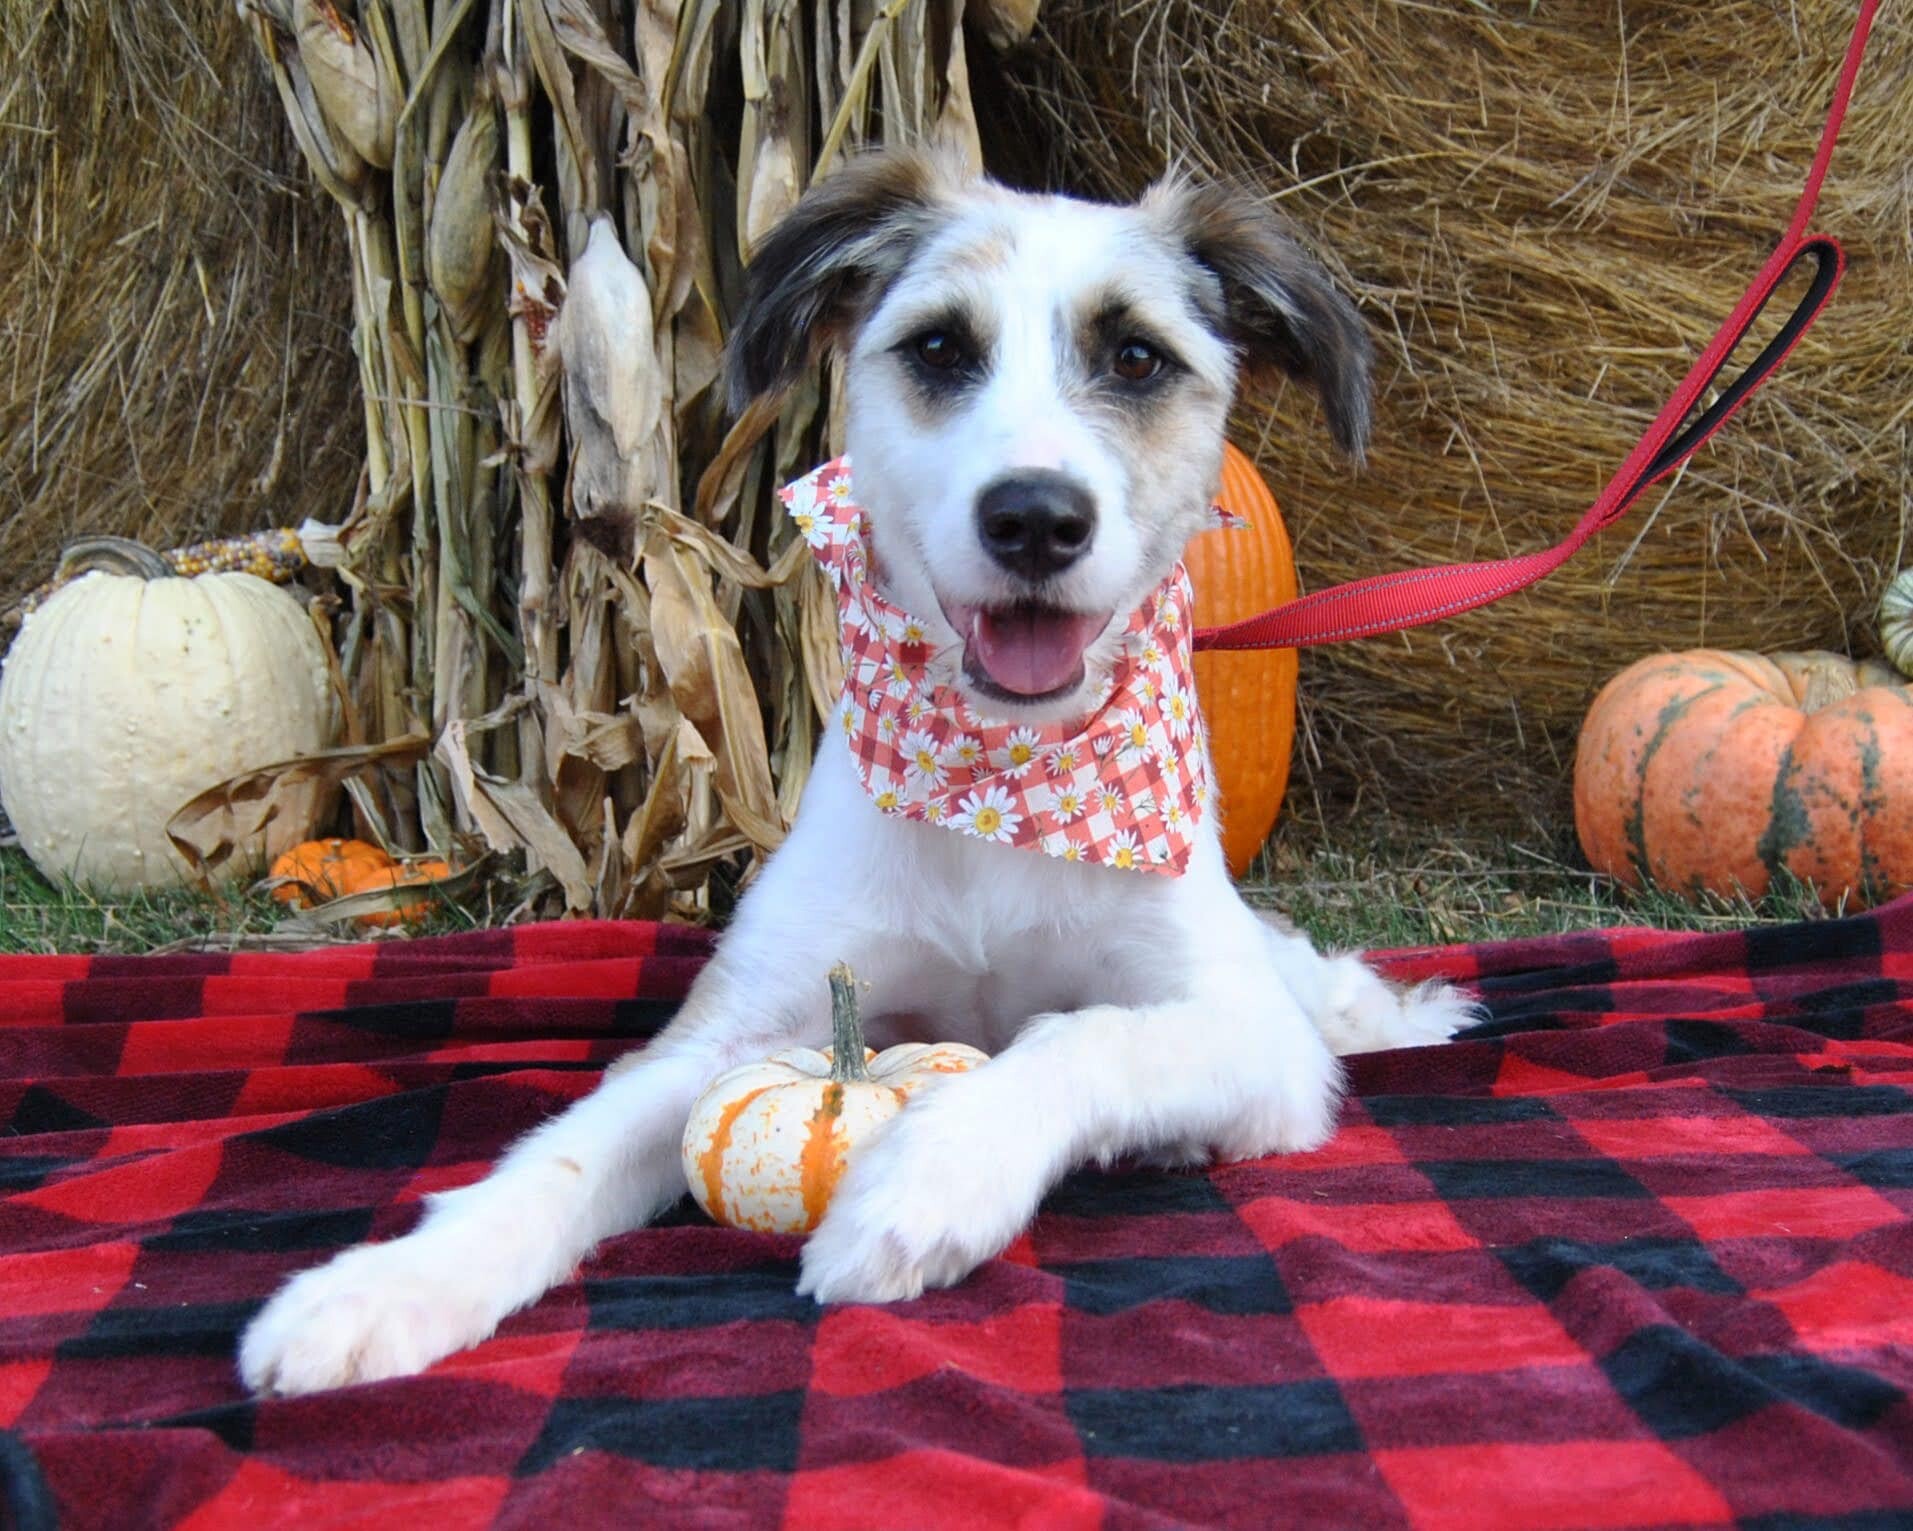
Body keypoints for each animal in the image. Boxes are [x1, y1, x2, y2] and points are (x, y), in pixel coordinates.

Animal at [231, 149, 1469, 1393]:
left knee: (1294, 979)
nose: (1034, 519)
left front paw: (924, 1180)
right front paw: (390, 1283)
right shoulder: (731, 1034)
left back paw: (1376, 1014)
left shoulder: (1247, 1039)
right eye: (938, 348)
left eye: (1135, 357)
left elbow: (1082, 1035)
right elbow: (562, 1154)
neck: (997, 786)